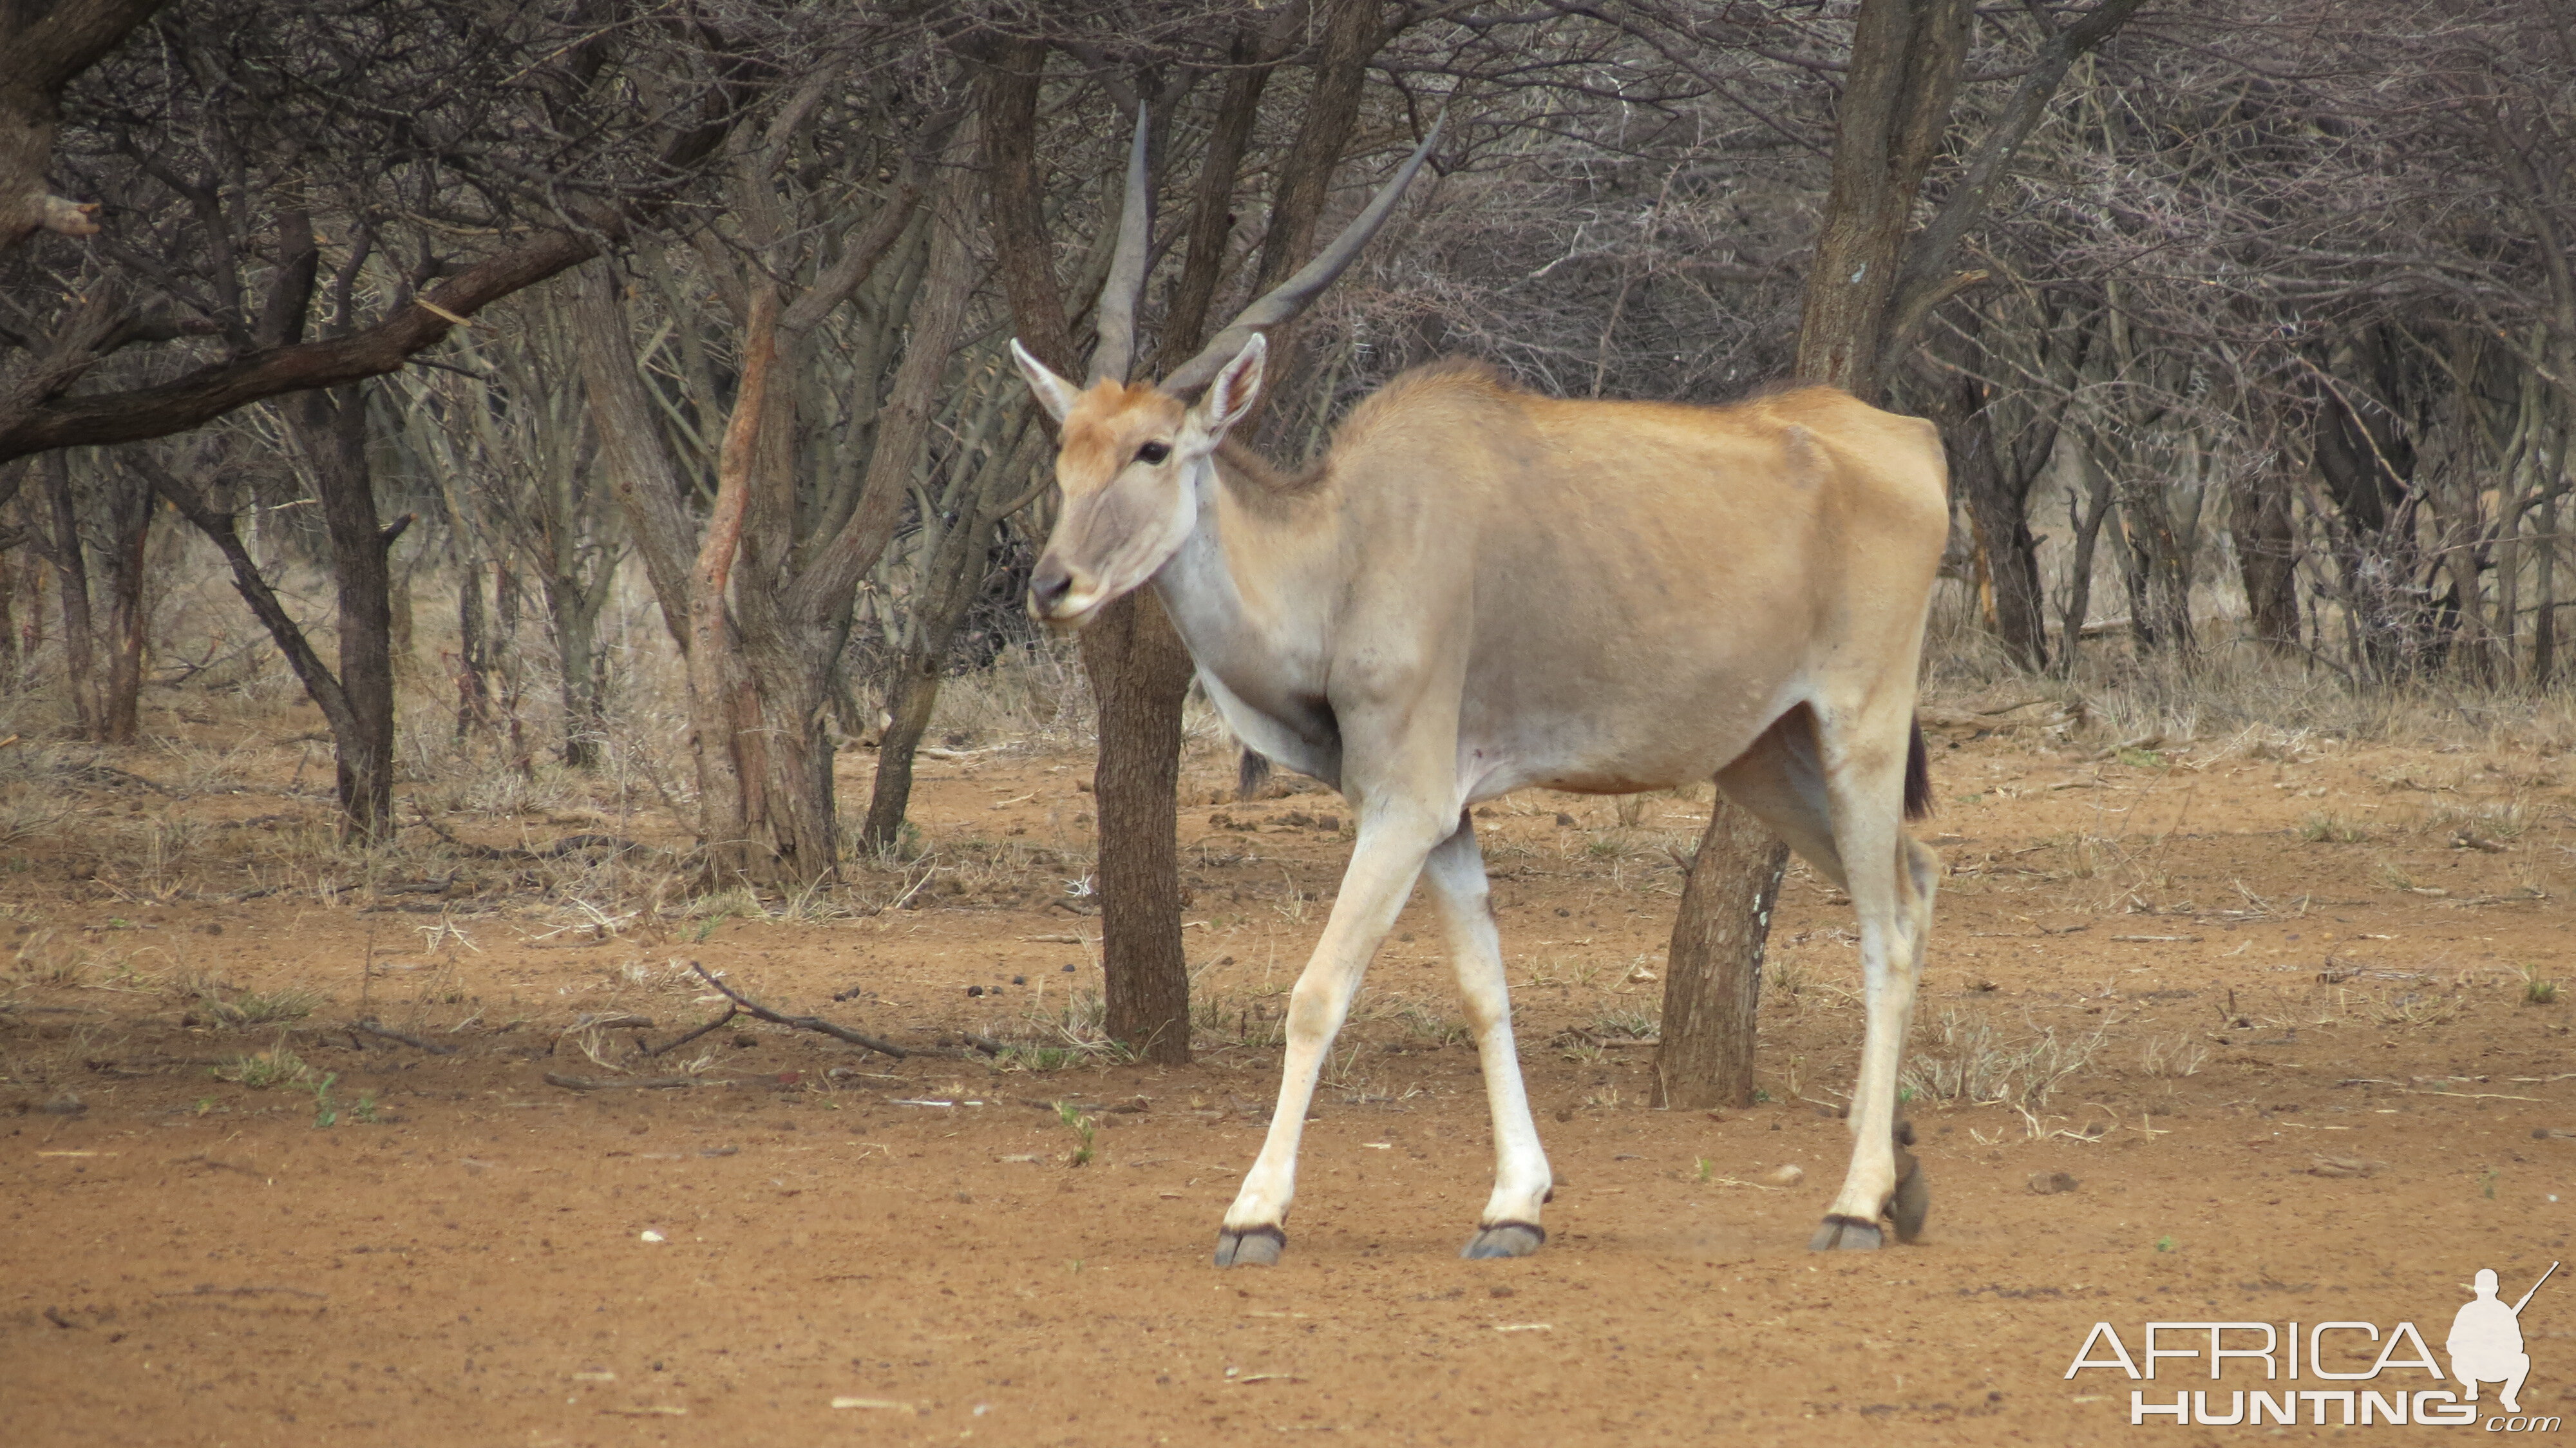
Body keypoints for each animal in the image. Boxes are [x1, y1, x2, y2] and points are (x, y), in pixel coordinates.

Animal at [1015, 107, 1937, 1257]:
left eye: (1152, 449)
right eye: (1066, 445)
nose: (1053, 586)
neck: (1347, 550)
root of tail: (1912, 441)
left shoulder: (1405, 807)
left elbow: (1320, 990)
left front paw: (1256, 1212)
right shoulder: (1445, 816)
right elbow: (1482, 989)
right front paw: (1514, 1204)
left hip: (1860, 730)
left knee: (1886, 924)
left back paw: (1854, 1203)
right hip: (1767, 759)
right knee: (1915, 881)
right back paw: (1901, 1180)